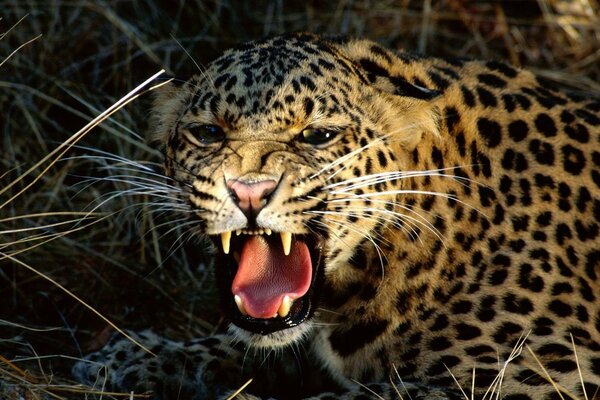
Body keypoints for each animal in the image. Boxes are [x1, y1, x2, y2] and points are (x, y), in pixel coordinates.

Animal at [74, 32, 600, 398]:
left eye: (318, 136)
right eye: (207, 133)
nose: (248, 192)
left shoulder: (550, 369)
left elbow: (367, 396)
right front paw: (132, 356)